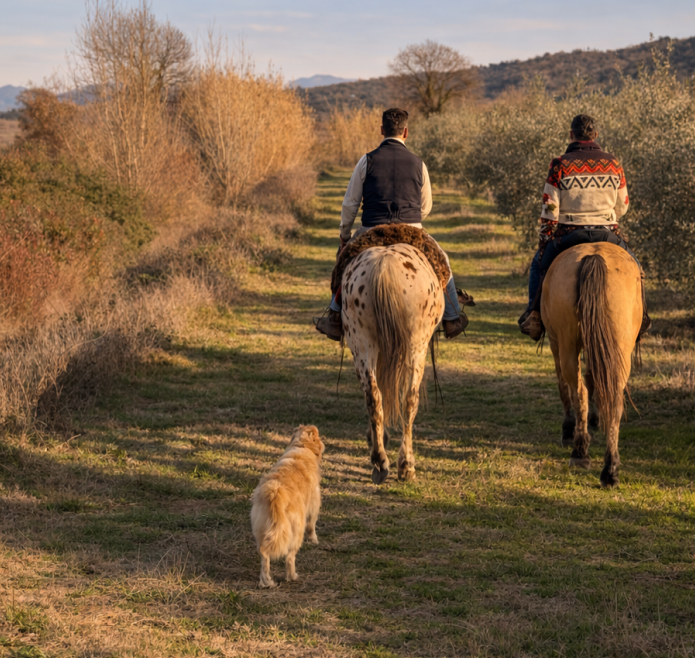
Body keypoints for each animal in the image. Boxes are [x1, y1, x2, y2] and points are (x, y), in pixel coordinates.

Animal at [341, 243, 444, 484]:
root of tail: (384, 267)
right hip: (416, 345)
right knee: (409, 399)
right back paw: (406, 465)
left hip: (362, 342)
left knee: (373, 395)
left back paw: (380, 461)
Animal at [541, 242, 643, 487]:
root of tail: (594, 256)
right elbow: (594, 379)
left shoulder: (554, 342)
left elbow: (566, 386)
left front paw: (569, 428)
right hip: (619, 348)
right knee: (613, 398)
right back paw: (610, 470)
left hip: (566, 345)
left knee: (578, 391)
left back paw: (580, 451)